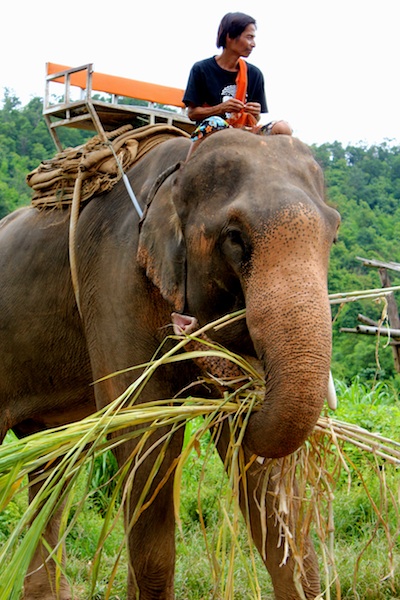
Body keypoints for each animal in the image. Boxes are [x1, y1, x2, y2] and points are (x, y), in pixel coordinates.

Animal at [0, 128, 340, 600]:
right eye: (235, 238)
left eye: (334, 236)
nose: (187, 328)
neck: (180, 168)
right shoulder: (115, 277)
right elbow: (145, 436)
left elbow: (259, 466)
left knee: (52, 461)